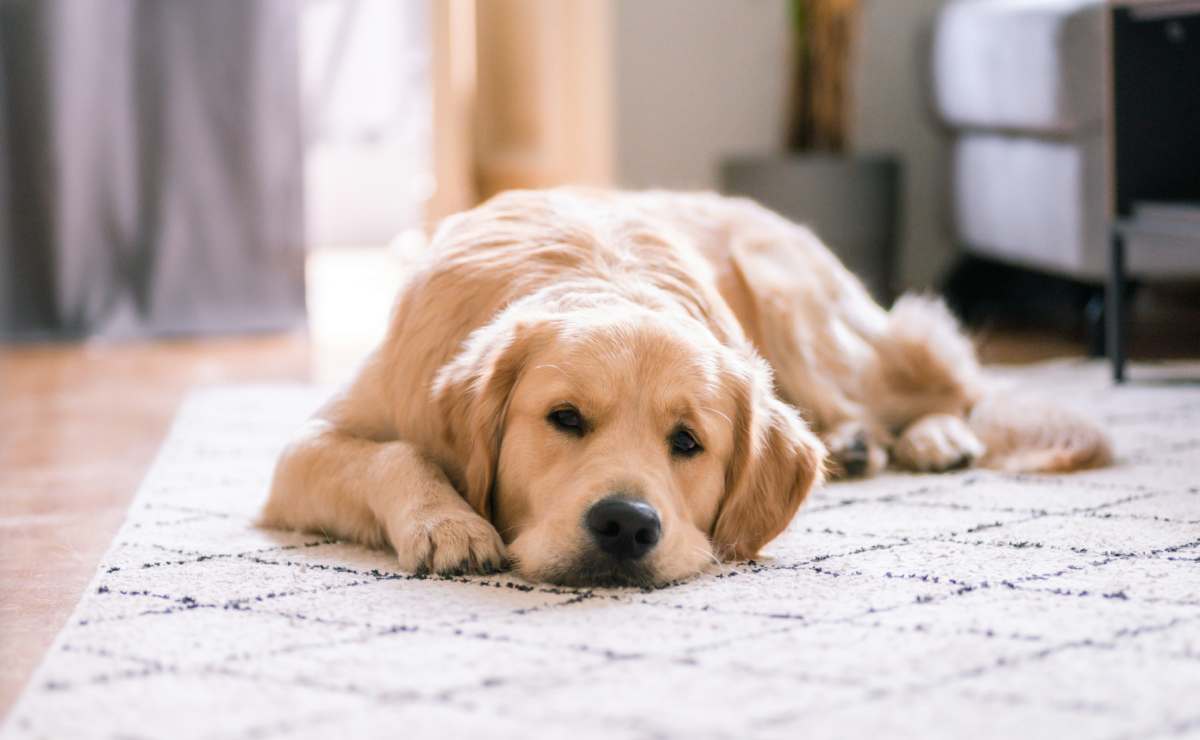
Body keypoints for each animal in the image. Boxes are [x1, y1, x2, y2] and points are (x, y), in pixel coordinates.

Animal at [260, 187, 1104, 585]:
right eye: (564, 418)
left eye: (688, 442)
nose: (625, 526)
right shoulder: (303, 450)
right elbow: (394, 454)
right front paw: (448, 523)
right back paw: (861, 445)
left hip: (801, 314)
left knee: (952, 383)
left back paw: (931, 436)